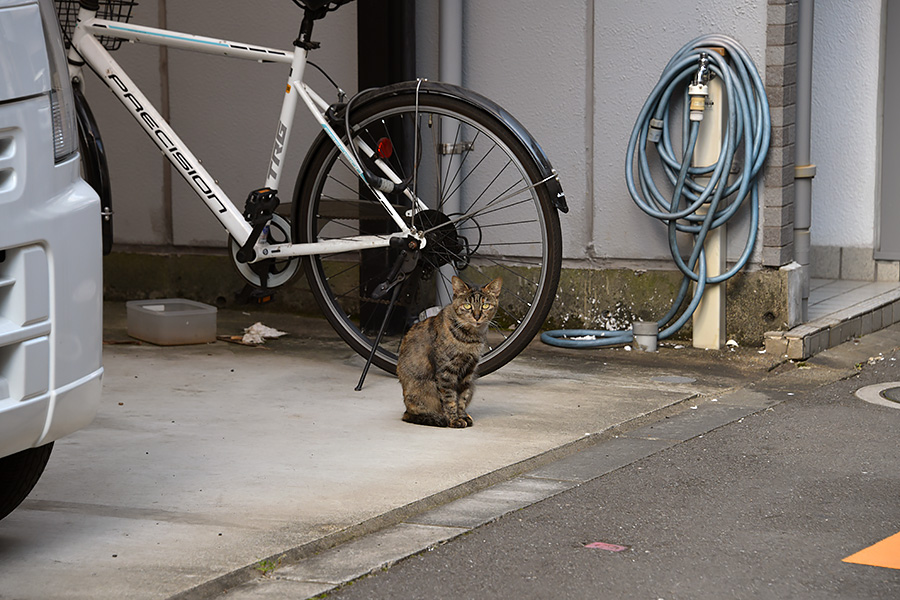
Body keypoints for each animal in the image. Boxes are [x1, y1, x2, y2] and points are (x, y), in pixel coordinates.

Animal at [398, 276, 502, 426]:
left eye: (485, 306)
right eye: (467, 306)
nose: (477, 316)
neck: (470, 338)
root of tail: (406, 409)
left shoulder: (468, 372)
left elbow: (462, 398)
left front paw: (462, 415)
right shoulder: (446, 372)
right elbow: (450, 398)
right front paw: (454, 420)